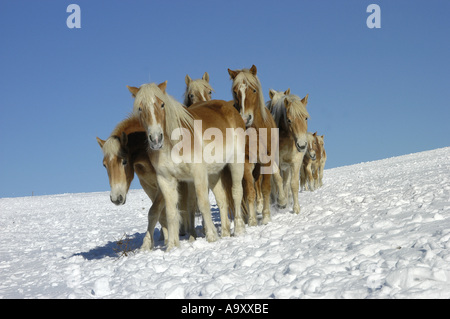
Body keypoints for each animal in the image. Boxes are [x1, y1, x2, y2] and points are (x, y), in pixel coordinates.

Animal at [96, 116, 197, 249]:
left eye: (124, 161)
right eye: (104, 165)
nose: (116, 198)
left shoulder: (163, 184)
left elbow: (153, 212)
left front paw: (146, 244)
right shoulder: (148, 186)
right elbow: (161, 214)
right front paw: (165, 239)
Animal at [126, 81, 246, 251]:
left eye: (162, 104)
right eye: (140, 108)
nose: (156, 139)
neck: (174, 143)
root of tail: (229, 108)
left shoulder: (198, 173)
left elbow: (202, 204)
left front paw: (211, 237)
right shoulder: (166, 180)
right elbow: (171, 212)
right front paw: (172, 246)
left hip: (236, 161)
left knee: (236, 192)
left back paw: (239, 229)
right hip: (214, 173)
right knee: (222, 199)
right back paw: (225, 233)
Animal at [227, 64, 286, 225]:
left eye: (253, 90)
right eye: (235, 92)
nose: (245, 118)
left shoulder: (267, 160)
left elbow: (265, 187)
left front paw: (265, 216)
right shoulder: (246, 161)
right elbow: (250, 191)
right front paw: (253, 220)